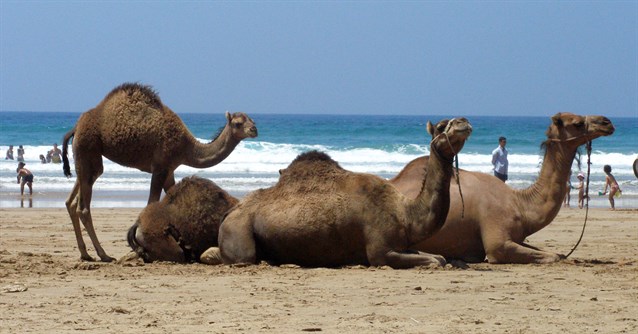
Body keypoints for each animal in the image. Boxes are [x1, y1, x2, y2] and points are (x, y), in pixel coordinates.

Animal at [62, 83, 258, 260]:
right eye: (238, 123)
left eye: (252, 119)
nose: (254, 129)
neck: (187, 147)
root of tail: (76, 127)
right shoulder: (160, 167)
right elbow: (152, 201)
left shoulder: (170, 170)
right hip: (88, 148)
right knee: (83, 207)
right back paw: (103, 255)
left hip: (84, 156)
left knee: (72, 201)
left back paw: (85, 254)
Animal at [212, 117, 472, 268]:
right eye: (441, 126)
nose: (464, 121)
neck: (405, 213)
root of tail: (230, 212)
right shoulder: (380, 252)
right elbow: (435, 261)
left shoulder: (402, 243)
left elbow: (439, 258)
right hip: (239, 230)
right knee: (244, 257)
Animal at [390, 112, 616, 264]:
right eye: (577, 123)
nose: (607, 122)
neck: (520, 203)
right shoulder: (497, 243)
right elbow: (554, 256)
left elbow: (558, 253)